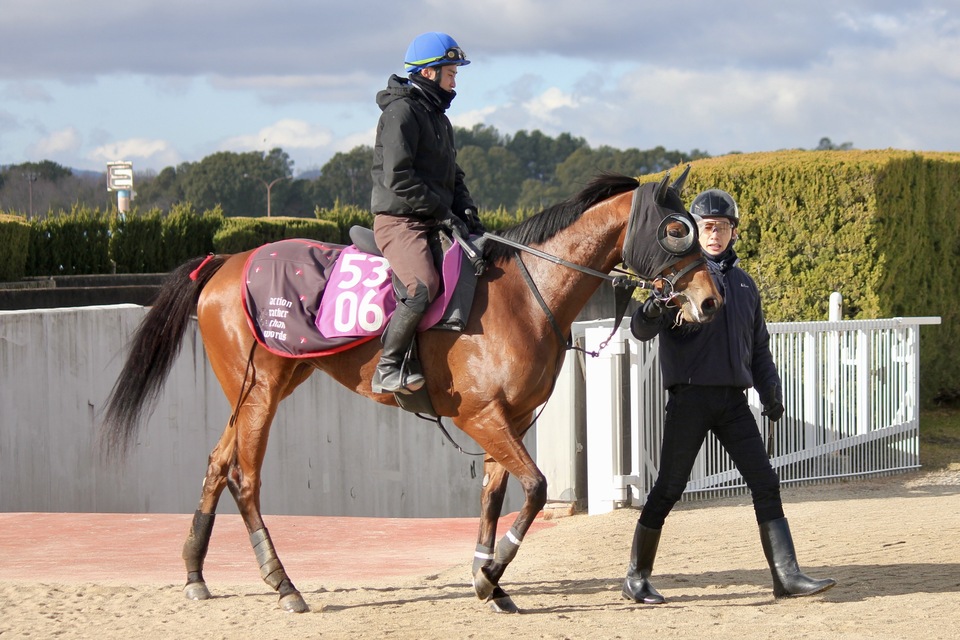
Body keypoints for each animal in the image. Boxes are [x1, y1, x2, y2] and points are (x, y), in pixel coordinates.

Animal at [100, 170, 722, 614]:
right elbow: (536, 488)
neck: (526, 295)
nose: (711, 300)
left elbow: (495, 494)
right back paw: (283, 584)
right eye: (675, 230)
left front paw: (488, 578)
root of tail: (226, 261)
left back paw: (195, 574)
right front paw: (490, 574)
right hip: (260, 390)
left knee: (215, 462)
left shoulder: (512, 418)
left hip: (264, 386)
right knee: (244, 478)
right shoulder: (482, 416)